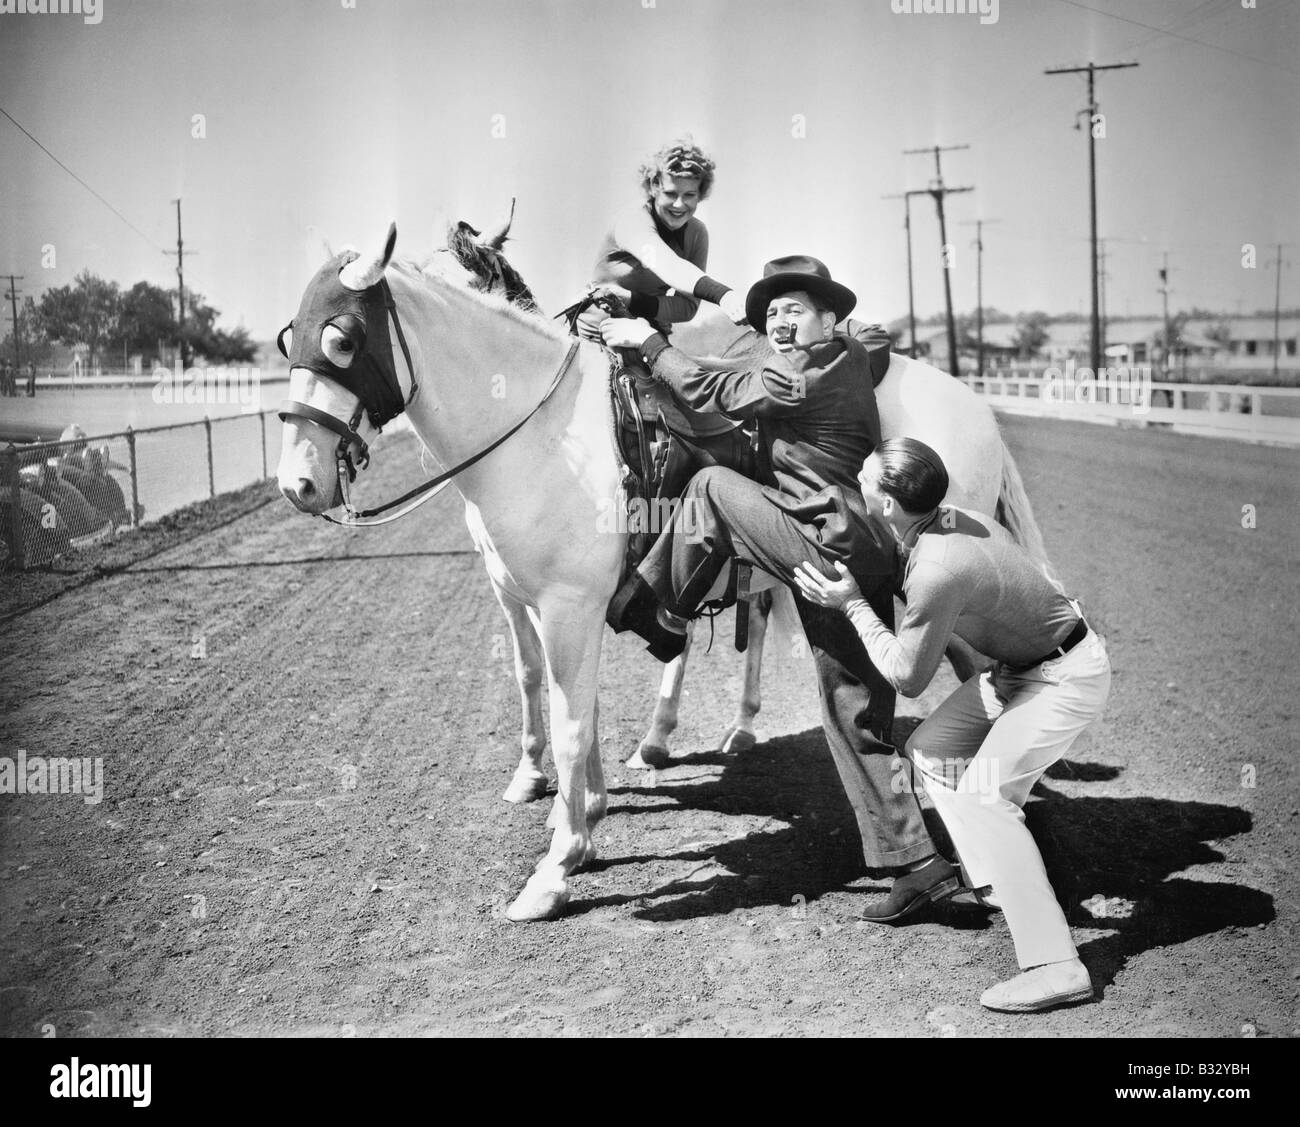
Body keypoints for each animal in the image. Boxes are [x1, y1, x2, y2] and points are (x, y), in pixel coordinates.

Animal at [279, 224, 1050, 920]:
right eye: (291, 340)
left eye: (342, 340)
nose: (297, 482)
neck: (543, 433)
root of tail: (975, 407)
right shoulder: (524, 599)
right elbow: (546, 690)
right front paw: (573, 812)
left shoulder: (567, 607)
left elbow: (570, 720)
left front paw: (555, 868)